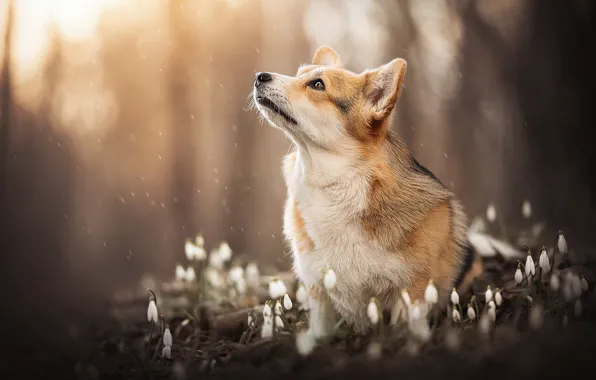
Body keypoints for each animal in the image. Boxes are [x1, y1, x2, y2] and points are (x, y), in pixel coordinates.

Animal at [253, 46, 484, 336]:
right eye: (299, 74)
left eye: (317, 84)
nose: (259, 76)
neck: (337, 186)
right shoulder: (319, 290)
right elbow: (320, 331)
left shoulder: (414, 289)